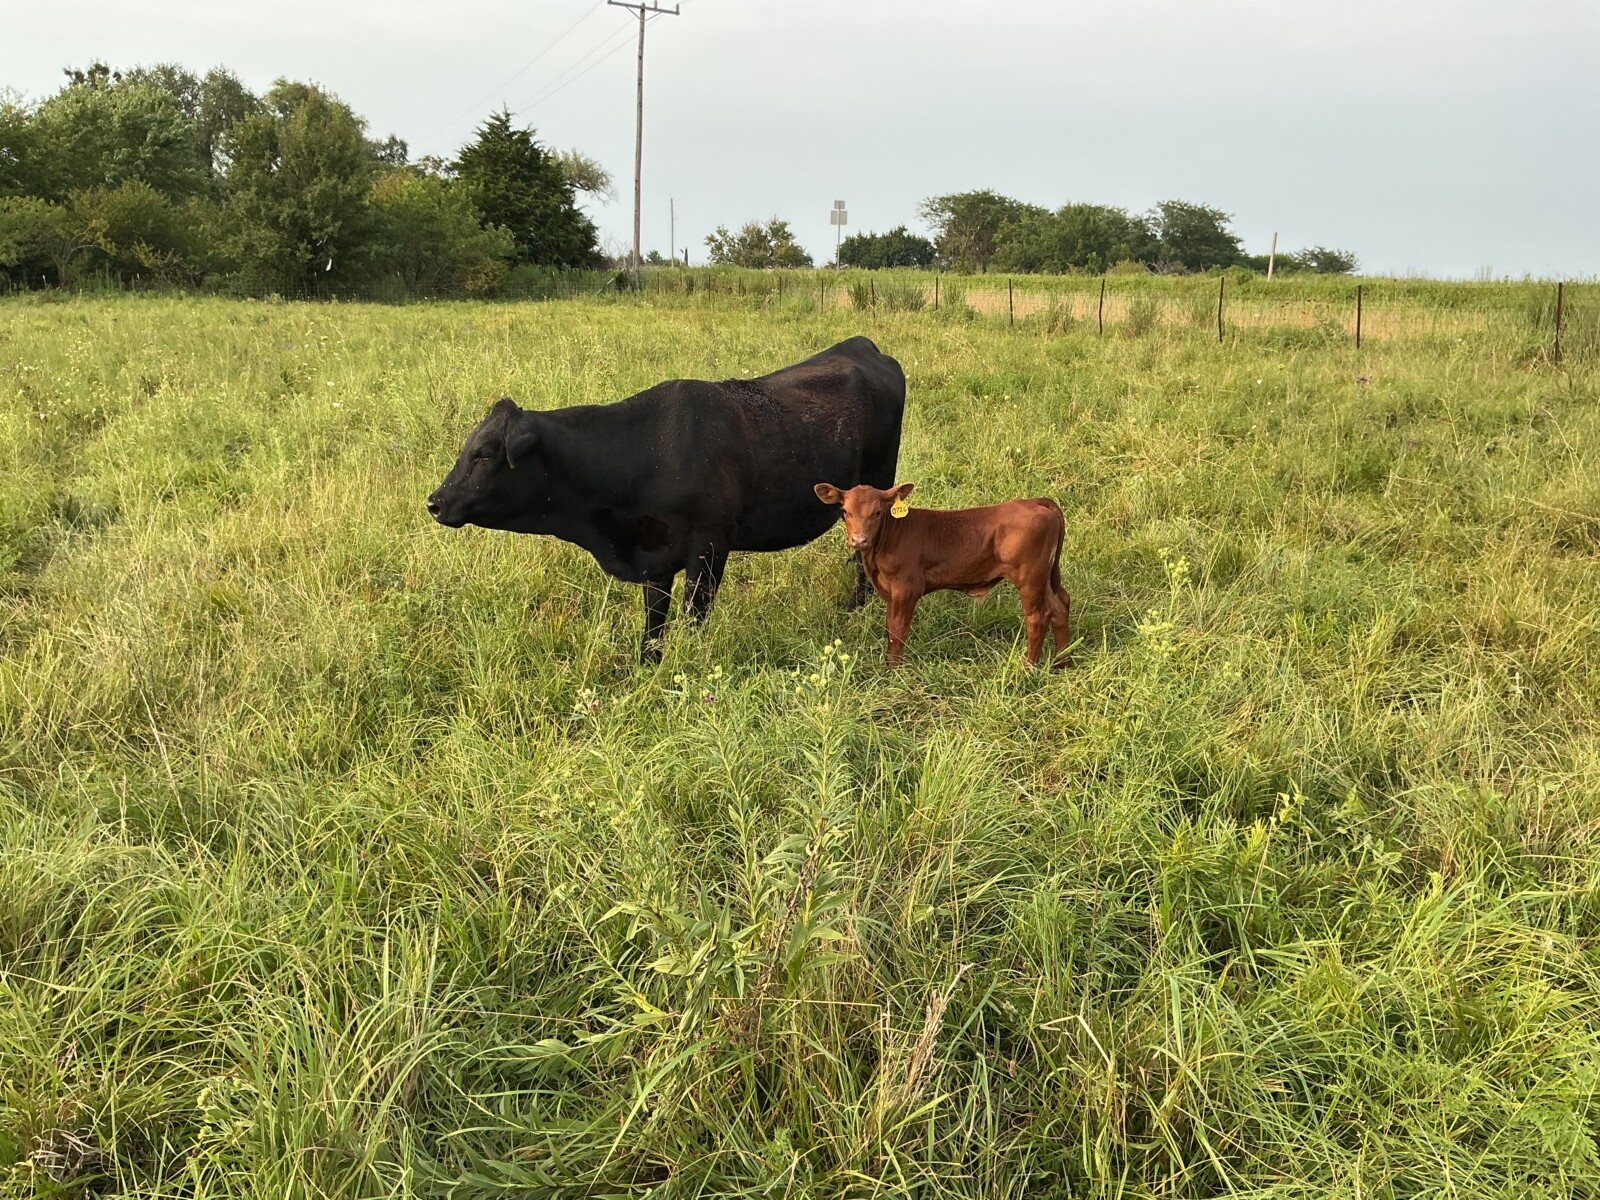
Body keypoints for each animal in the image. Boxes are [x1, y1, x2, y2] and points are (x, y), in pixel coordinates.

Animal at [427, 337, 905, 661]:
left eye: (484, 453)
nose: (435, 501)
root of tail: (861, 345)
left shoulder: (709, 547)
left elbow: (694, 617)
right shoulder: (654, 556)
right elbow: (654, 622)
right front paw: (649, 666)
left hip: (877, 481)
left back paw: (857, 607)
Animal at [812, 482, 1072, 668]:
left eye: (877, 512)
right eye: (845, 511)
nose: (859, 540)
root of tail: (1037, 502)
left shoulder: (907, 588)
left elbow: (897, 629)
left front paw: (894, 670)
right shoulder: (891, 591)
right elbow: (889, 627)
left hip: (1030, 578)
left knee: (1037, 618)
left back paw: (1029, 667)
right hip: (1045, 577)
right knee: (1059, 606)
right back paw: (1062, 662)